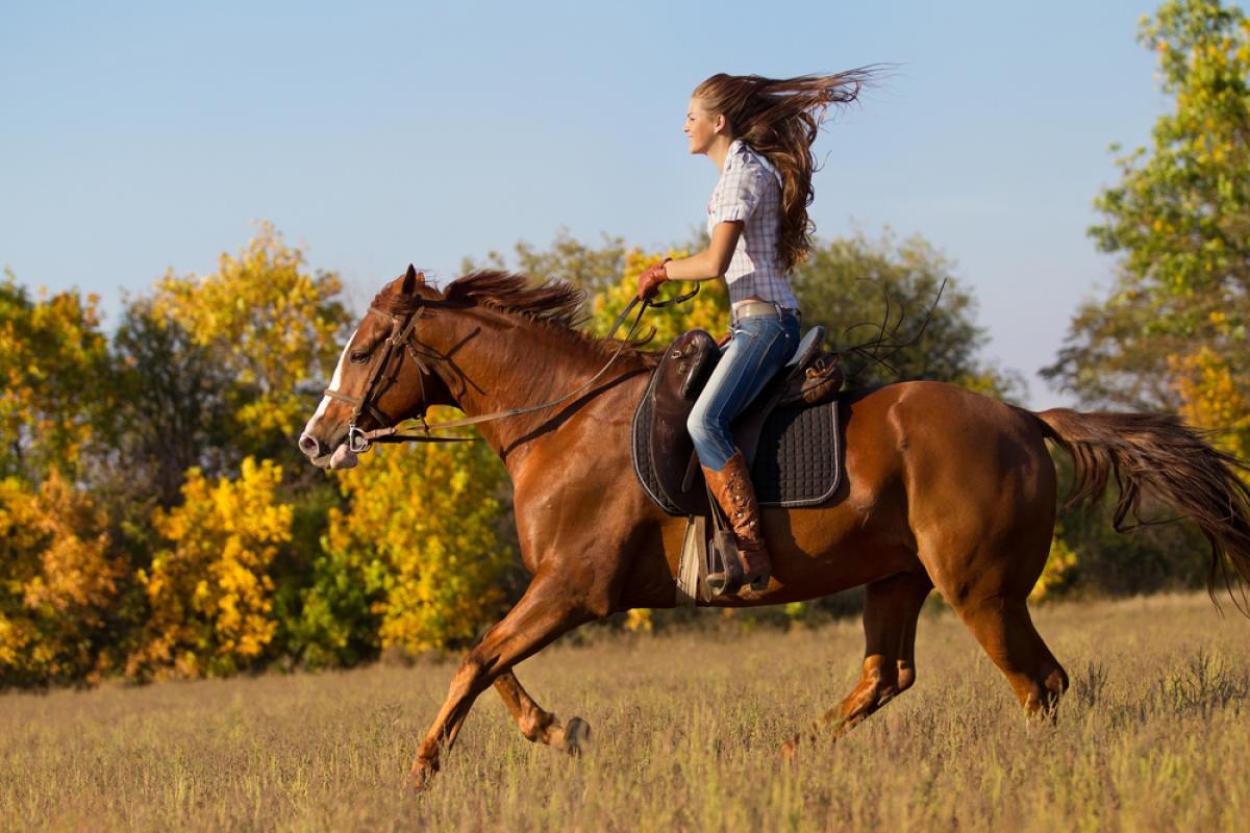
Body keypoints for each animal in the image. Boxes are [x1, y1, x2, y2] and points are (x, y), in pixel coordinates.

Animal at [295, 263, 1250, 785]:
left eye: (365, 346)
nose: (316, 438)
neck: (561, 418)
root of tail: (1023, 417)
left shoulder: (574, 587)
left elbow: (475, 659)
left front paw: (422, 770)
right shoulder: (557, 590)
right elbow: (489, 661)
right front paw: (556, 731)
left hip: (979, 590)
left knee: (1039, 683)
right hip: (898, 578)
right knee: (887, 675)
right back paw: (790, 752)